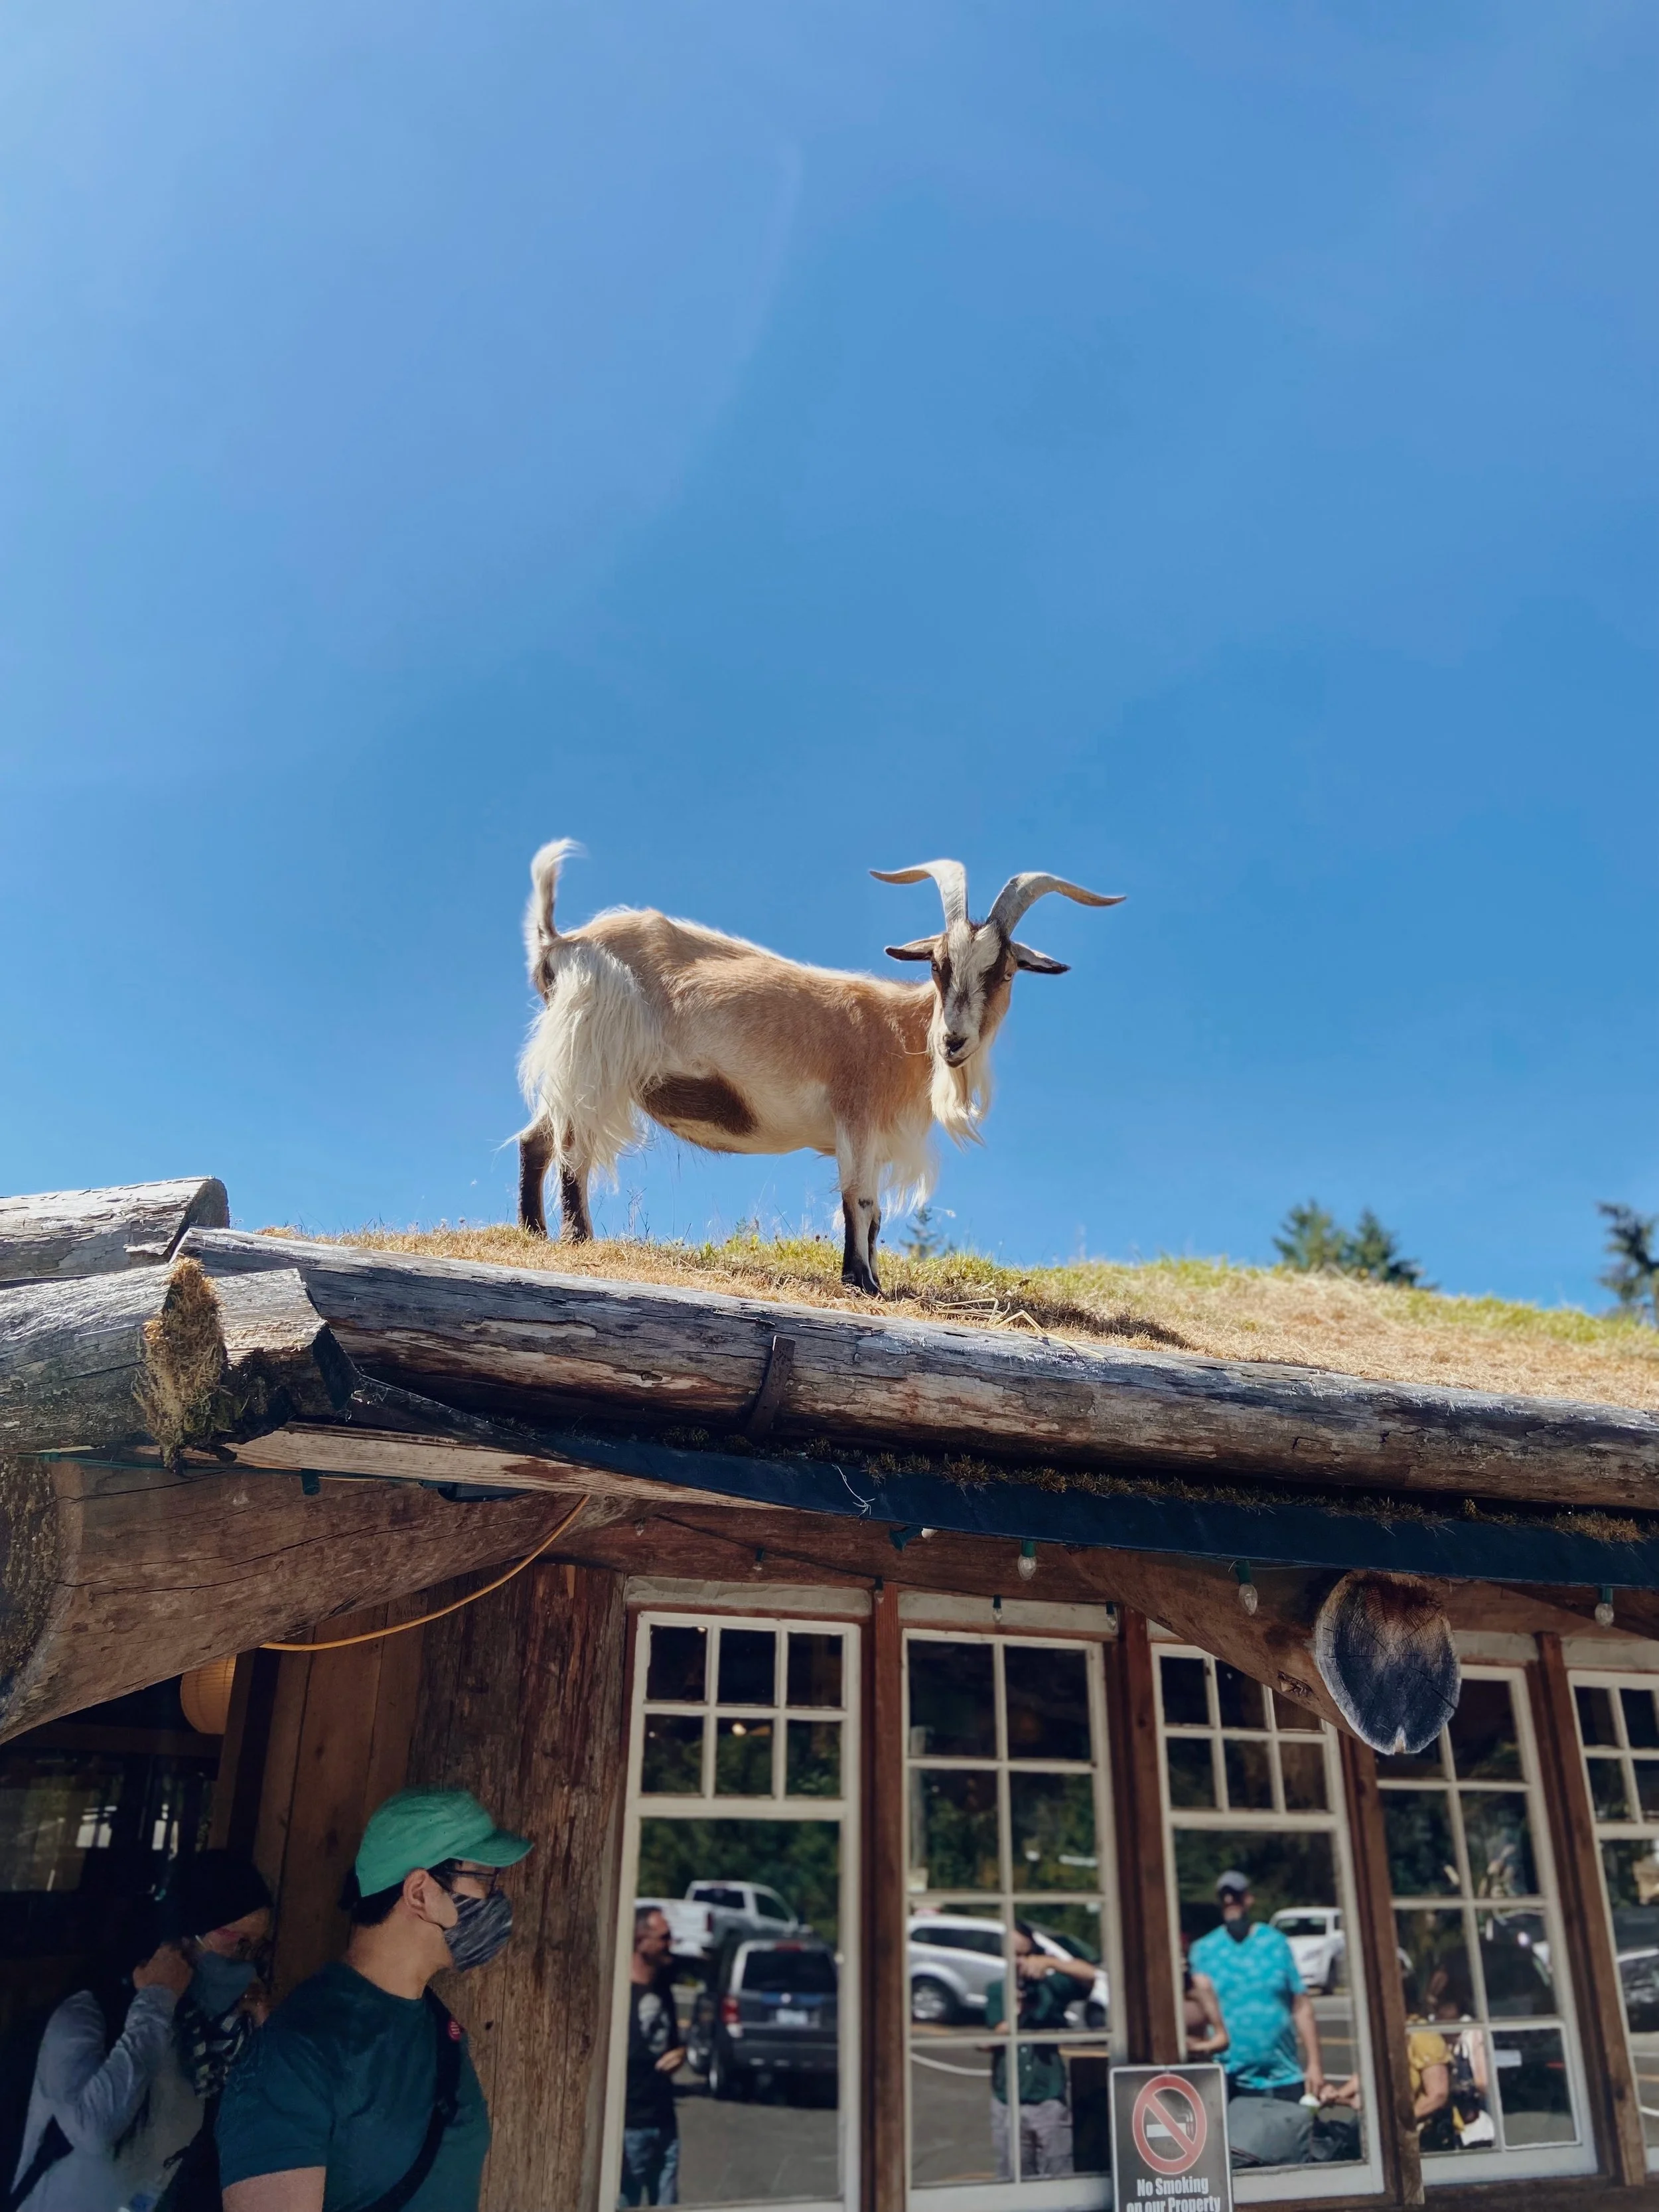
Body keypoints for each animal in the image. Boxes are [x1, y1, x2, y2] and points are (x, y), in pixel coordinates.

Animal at [516, 844, 1122, 1293]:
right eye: (937, 965)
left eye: (1005, 971)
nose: (954, 1040)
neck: (903, 1034)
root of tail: (562, 943)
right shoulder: (856, 1119)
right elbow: (860, 1201)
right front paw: (862, 1283)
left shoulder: (877, 1138)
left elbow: (876, 1215)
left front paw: (872, 1277)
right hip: (596, 1054)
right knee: (573, 1146)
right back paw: (578, 1237)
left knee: (535, 1139)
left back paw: (532, 1230)